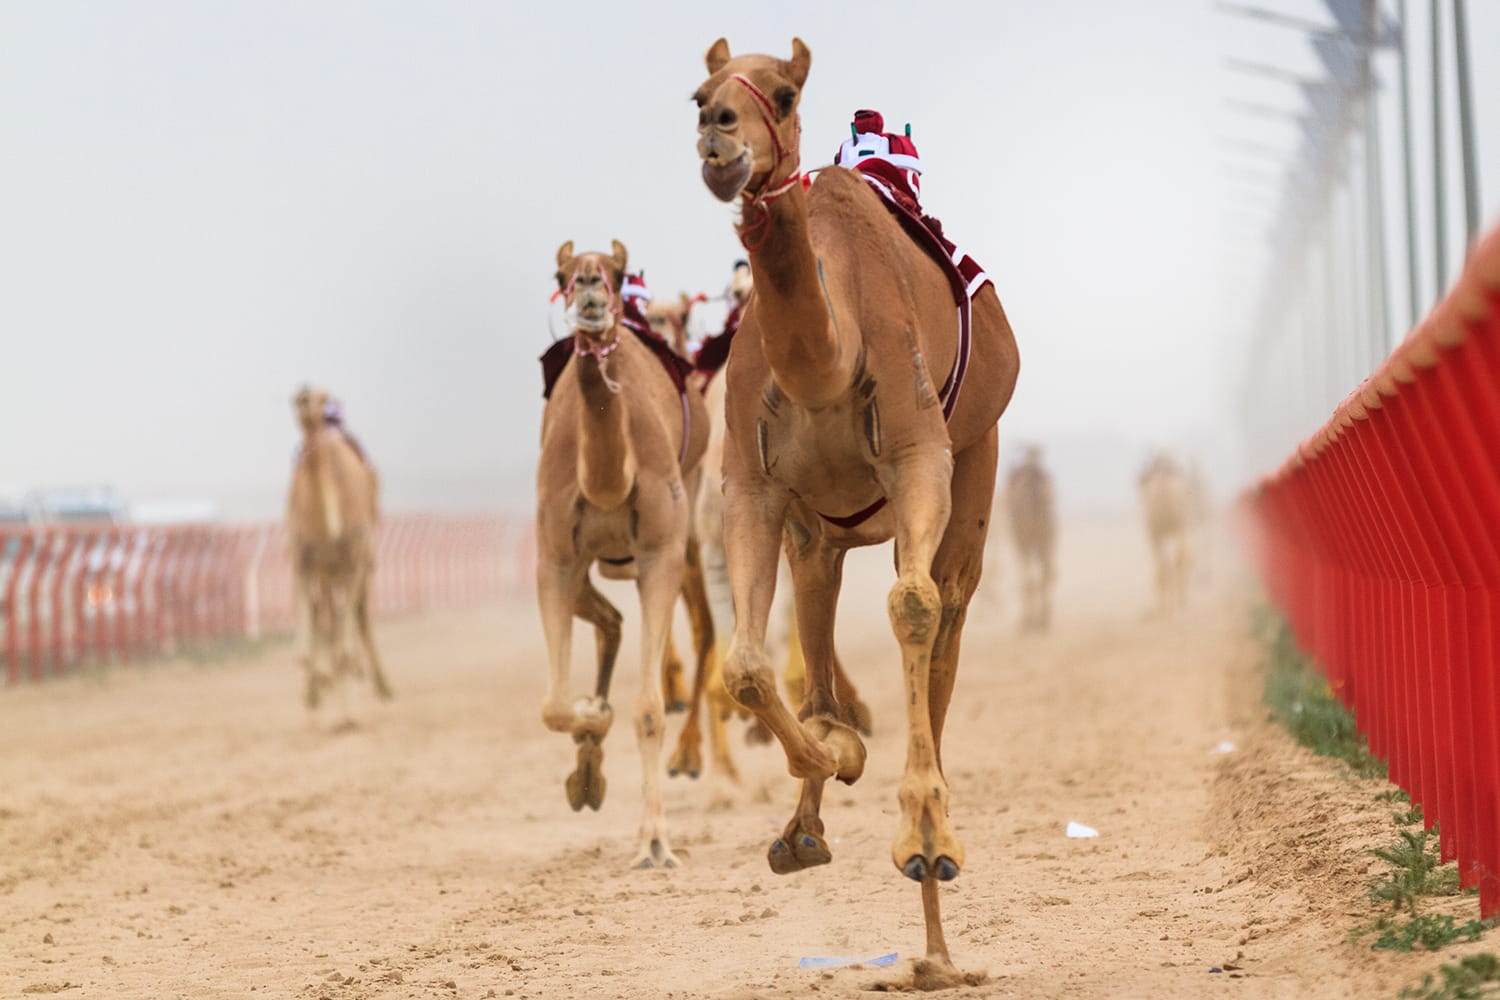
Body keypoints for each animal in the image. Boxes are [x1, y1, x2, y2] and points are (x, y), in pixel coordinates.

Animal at [286, 385, 392, 710]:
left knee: (357, 615)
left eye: (322, 399)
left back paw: (379, 684)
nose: (302, 394)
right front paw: (315, 685)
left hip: (358, 564)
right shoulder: (303, 560)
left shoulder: (355, 558)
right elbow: (312, 630)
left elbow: (346, 629)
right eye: (301, 398)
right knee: (329, 616)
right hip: (326, 571)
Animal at [535, 239, 711, 869]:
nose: (589, 284)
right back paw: (588, 763)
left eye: (615, 271)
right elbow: (555, 704)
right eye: (561, 272)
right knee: (608, 622)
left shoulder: (660, 553)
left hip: (685, 528)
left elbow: (651, 709)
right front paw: (591, 716)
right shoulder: (553, 558)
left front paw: (655, 842)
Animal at [691, 39, 1020, 979]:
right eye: (699, 91)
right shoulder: (753, 487)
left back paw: (936, 913)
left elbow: (911, 604)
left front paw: (924, 835)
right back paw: (809, 822)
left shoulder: (920, 457)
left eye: (782, 92)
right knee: (816, 623)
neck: (824, 366)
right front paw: (836, 756)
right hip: (819, 535)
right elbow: (747, 666)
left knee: (945, 628)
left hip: (977, 464)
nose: (717, 136)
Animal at [1006, 446, 1056, 632]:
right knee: (1048, 572)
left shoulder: (1021, 541)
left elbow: (1027, 579)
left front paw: (1026, 623)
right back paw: (1044, 619)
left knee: (1034, 577)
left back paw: (1031, 622)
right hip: (1049, 532)